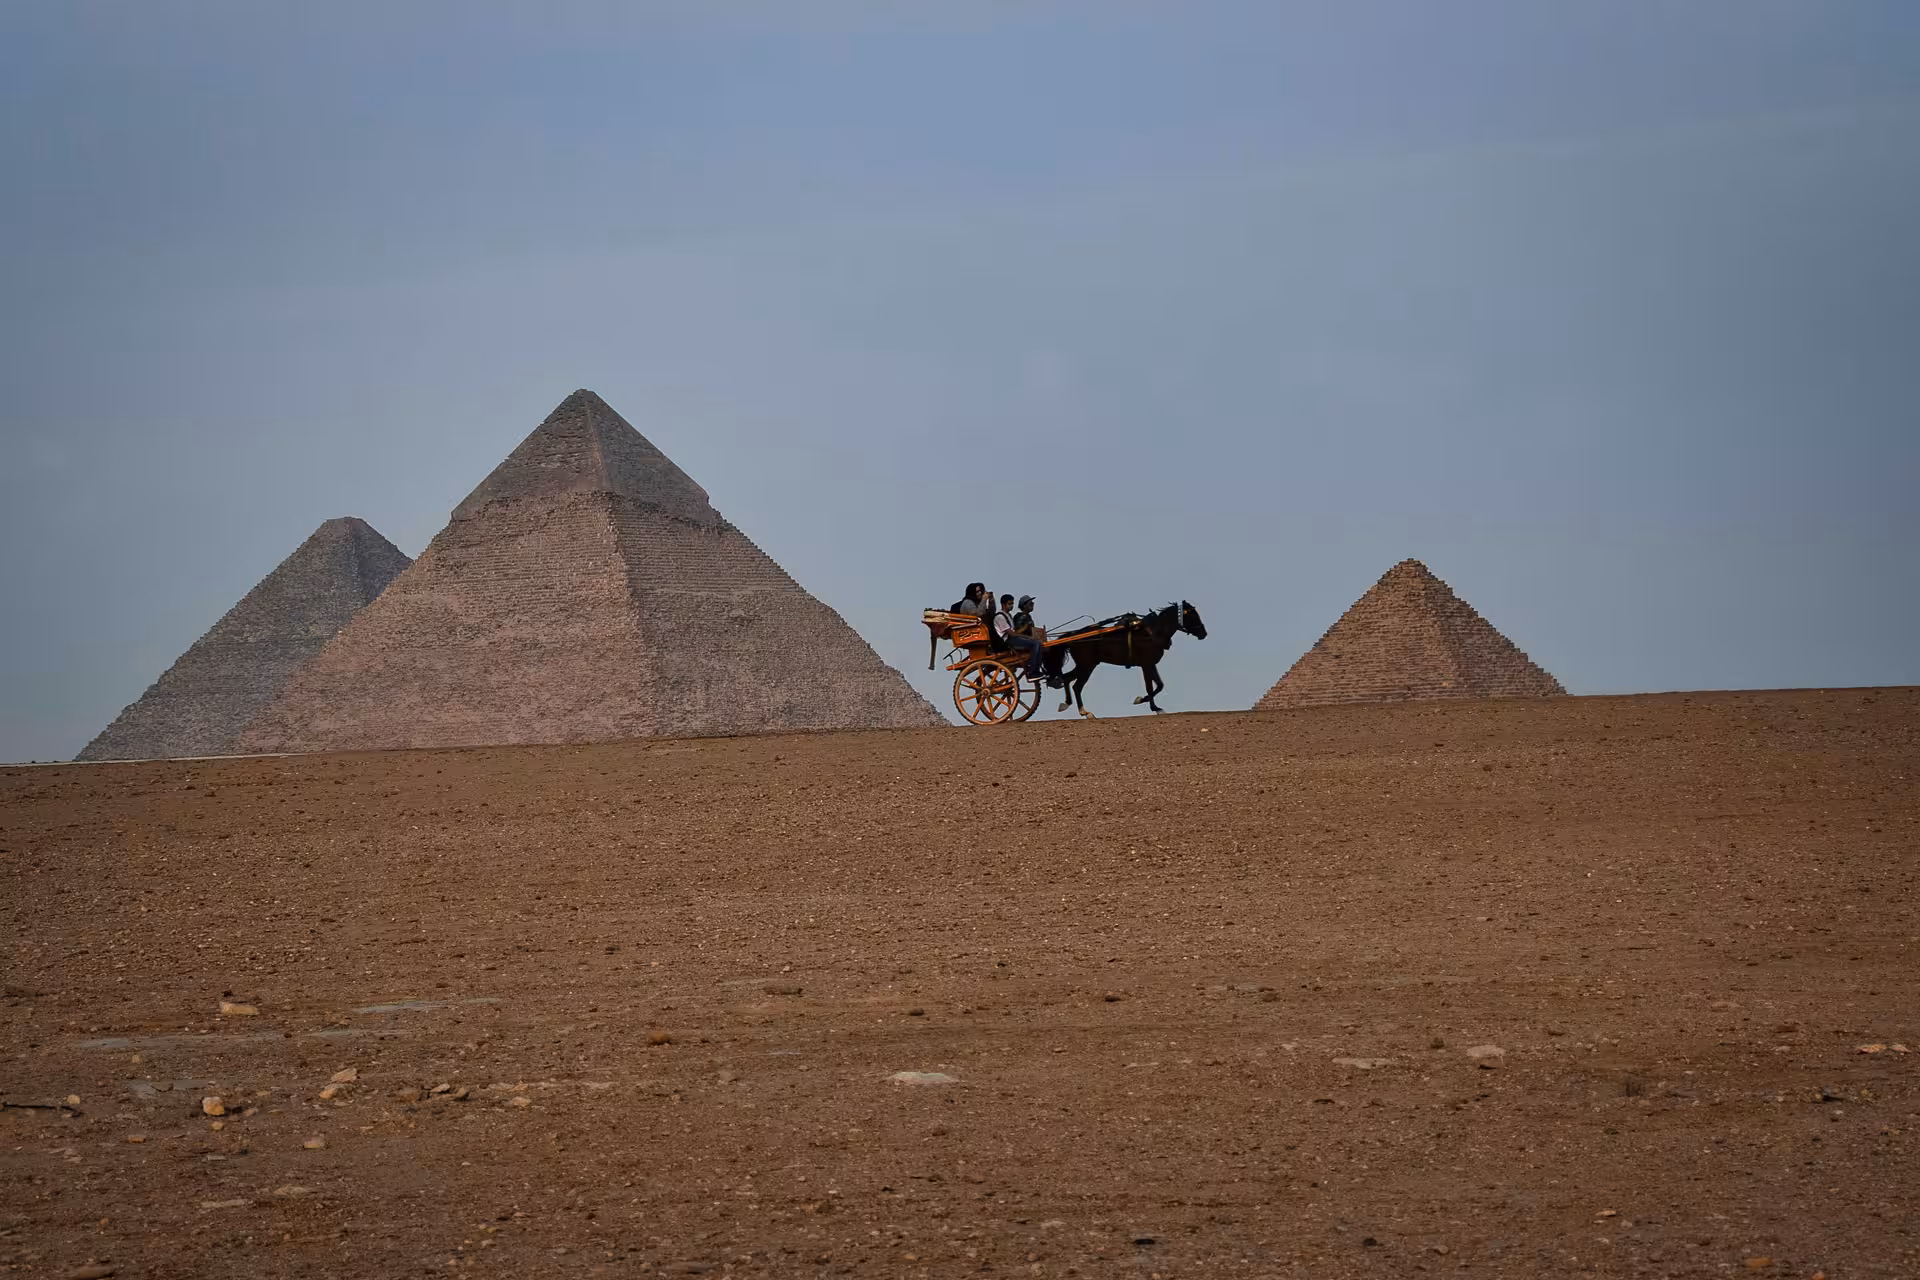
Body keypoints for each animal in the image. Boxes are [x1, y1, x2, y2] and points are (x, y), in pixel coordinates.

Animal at [1044, 601, 1207, 718]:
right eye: (1192, 614)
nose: (1203, 633)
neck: (1152, 633)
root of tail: (1074, 635)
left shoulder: (1151, 664)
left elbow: (1160, 685)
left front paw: (1143, 700)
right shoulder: (1146, 664)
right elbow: (1150, 686)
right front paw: (1152, 706)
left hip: (1084, 665)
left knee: (1066, 679)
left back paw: (1066, 704)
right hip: (1087, 665)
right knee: (1077, 686)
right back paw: (1085, 712)